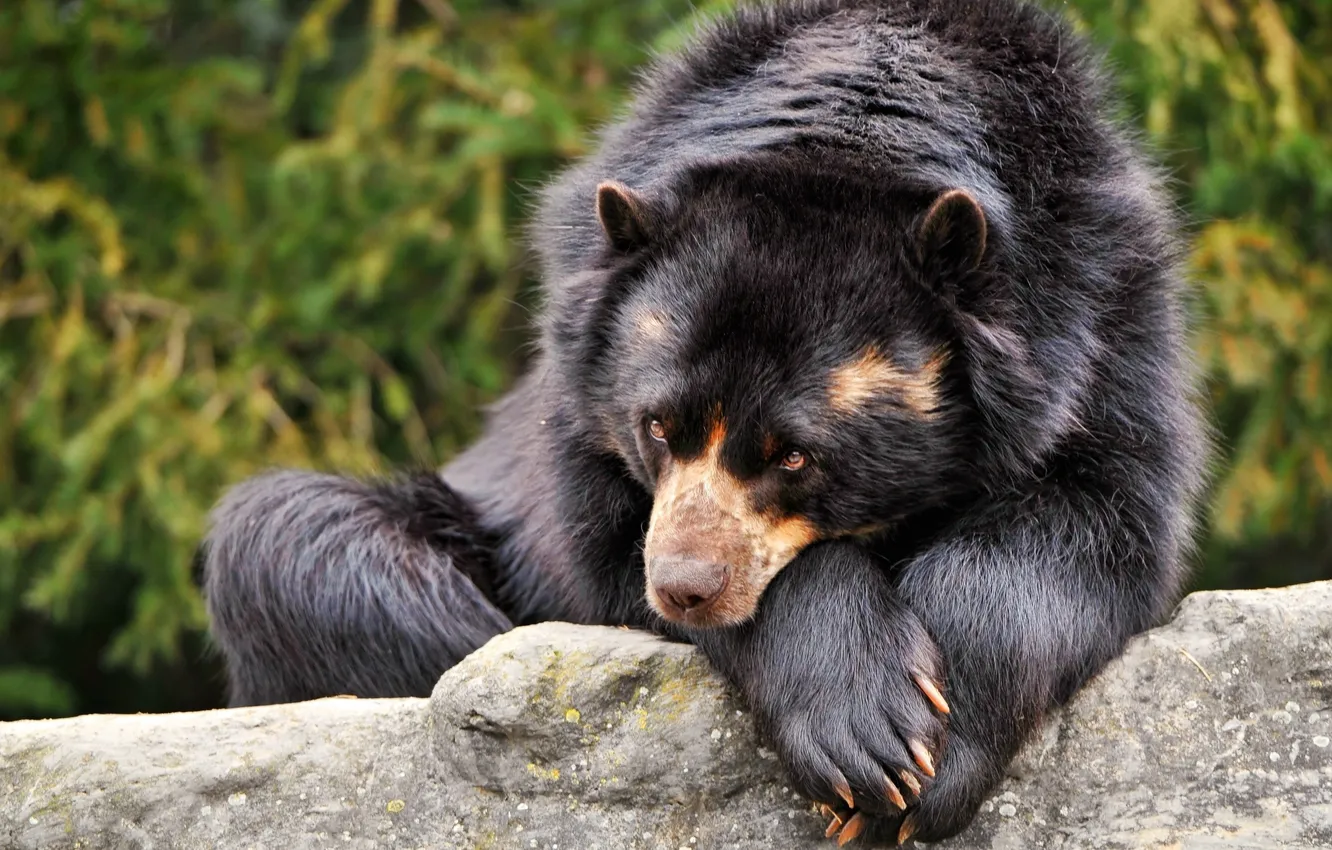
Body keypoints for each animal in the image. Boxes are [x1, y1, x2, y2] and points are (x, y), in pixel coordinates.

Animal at [202, 1, 1214, 847]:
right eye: (657, 426)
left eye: (795, 456)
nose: (685, 586)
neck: (853, 132)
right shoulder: (577, 389)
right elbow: (603, 548)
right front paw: (867, 735)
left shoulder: (1103, 316)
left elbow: (1096, 518)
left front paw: (929, 756)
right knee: (294, 545)